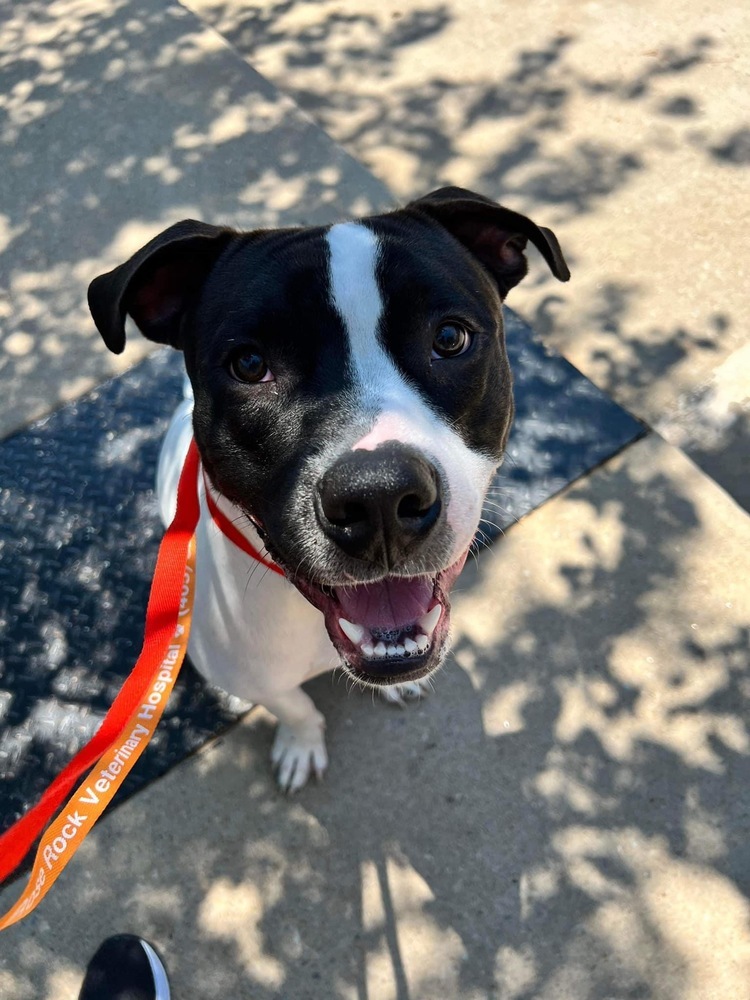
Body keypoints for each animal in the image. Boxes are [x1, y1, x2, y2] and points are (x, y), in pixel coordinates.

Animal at [88, 187, 569, 791]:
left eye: (450, 337)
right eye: (249, 364)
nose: (379, 495)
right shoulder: (262, 675)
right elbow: (292, 704)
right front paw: (301, 741)